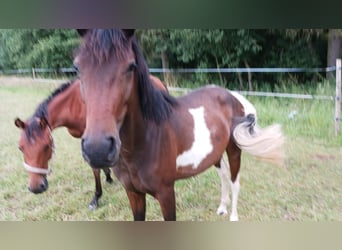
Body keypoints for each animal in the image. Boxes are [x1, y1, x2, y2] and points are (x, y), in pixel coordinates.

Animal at [75, 29, 286, 221]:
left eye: (131, 66)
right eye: (77, 67)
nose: (97, 149)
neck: (147, 138)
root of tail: (233, 96)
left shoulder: (166, 193)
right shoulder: (133, 193)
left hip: (234, 150)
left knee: (235, 181)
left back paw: (233, 216)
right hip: (215, 154)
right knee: (224, 176)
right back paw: (221, 208)